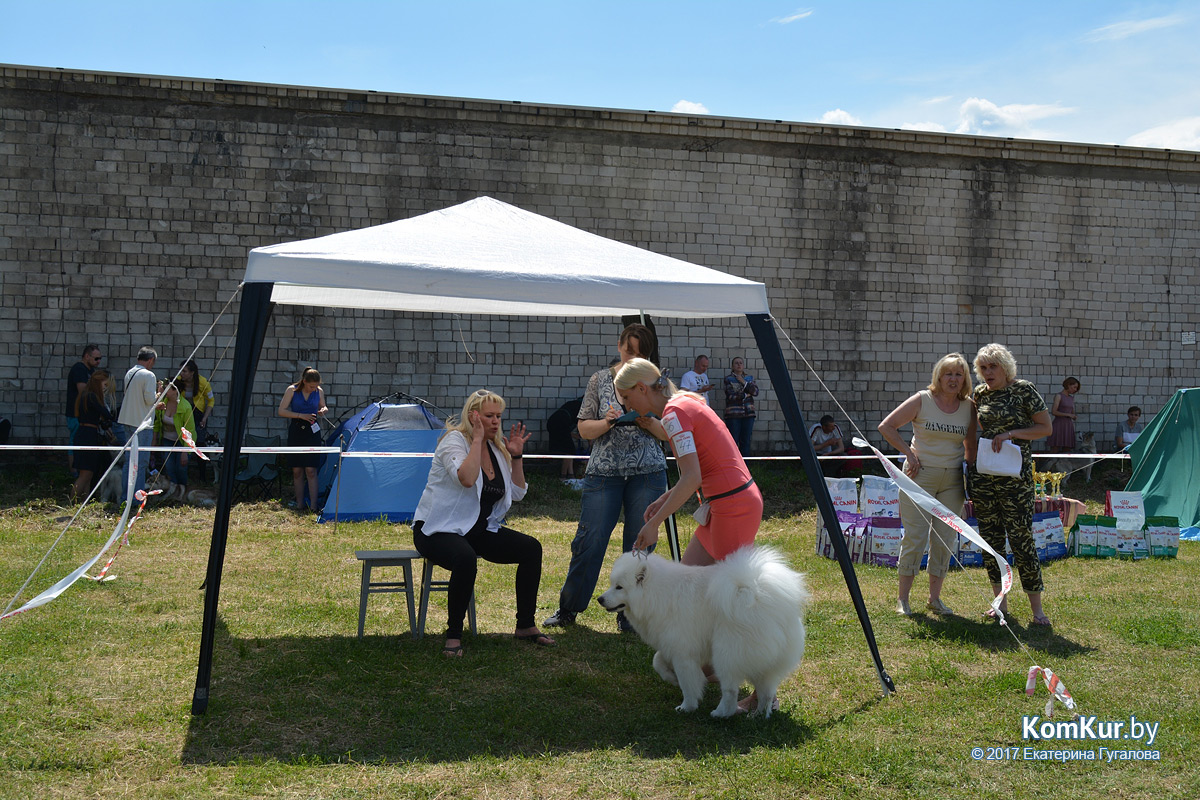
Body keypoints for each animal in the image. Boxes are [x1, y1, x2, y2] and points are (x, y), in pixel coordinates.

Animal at [597, 546, 811, 714]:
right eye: (611, 585)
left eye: (619, 587)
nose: (599, 599)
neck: (658, 594)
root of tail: (759, 593)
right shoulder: (672, 644)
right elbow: (657, 661)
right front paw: (671, 679)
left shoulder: (683, 652)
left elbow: (688, 683)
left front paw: (687, 707)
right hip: (764, 662)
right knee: (766, 691)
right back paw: (758, 715)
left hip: (726, 652)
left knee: (731, 690)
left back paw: (721, 713)